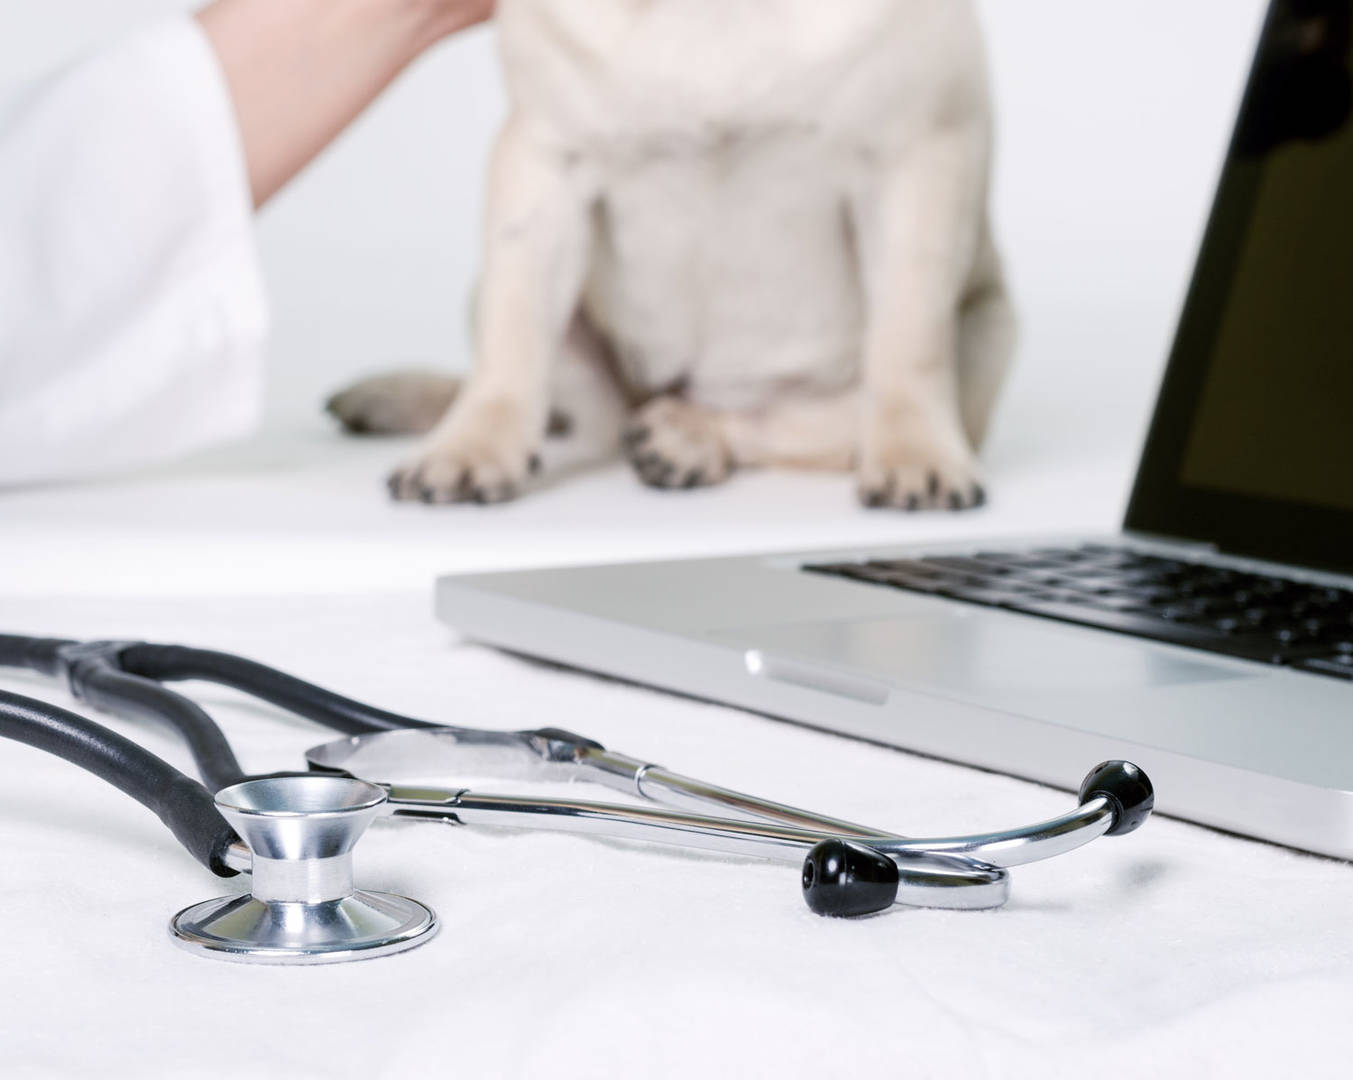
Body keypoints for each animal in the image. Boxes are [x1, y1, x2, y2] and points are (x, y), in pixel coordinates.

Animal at [322, 0, 1012, 508]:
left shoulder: (917, 163)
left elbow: (908, 347)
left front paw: (915, 452)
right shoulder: (543, 166)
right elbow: (512, 336)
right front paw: (470, 447)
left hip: (984, 338)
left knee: (815, 421)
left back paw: (689, 436)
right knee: (574, 408)